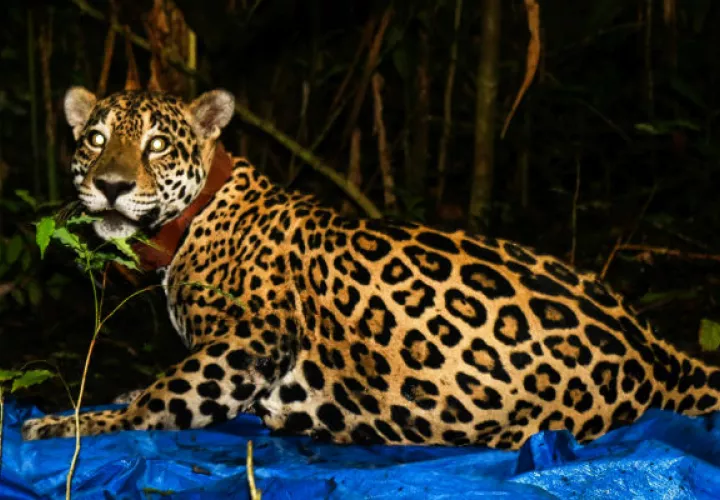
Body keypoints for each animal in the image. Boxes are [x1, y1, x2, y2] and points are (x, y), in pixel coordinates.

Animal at [22, 87, 720, 451]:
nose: (110, 186)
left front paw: (66, 424)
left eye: (158, 145)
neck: (194, 221)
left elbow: (156, 402)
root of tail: (665, 357)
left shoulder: (247, 342)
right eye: (95, 139)